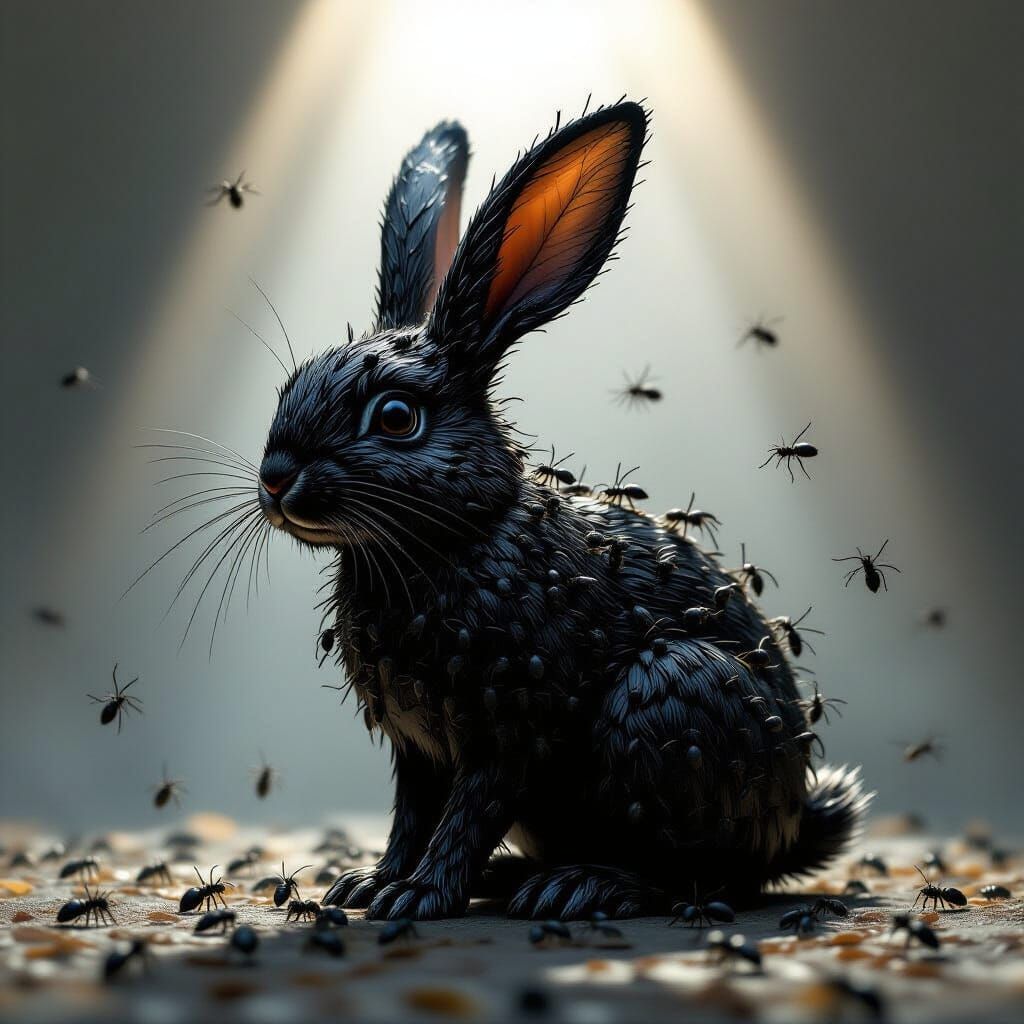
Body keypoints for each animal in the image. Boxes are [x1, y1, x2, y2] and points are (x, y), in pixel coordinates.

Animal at [255, 100, 869, 921]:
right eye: (291, 385)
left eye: (395, 418)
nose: (275, 480)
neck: (453, 538)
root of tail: (791, 826)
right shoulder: (417, 748)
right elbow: (411, 814)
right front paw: (371, 884)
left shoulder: (511, 729)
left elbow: (468, 812)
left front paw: (417, 897)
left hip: (670, 697)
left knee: (693, 875)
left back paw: (577, 887)